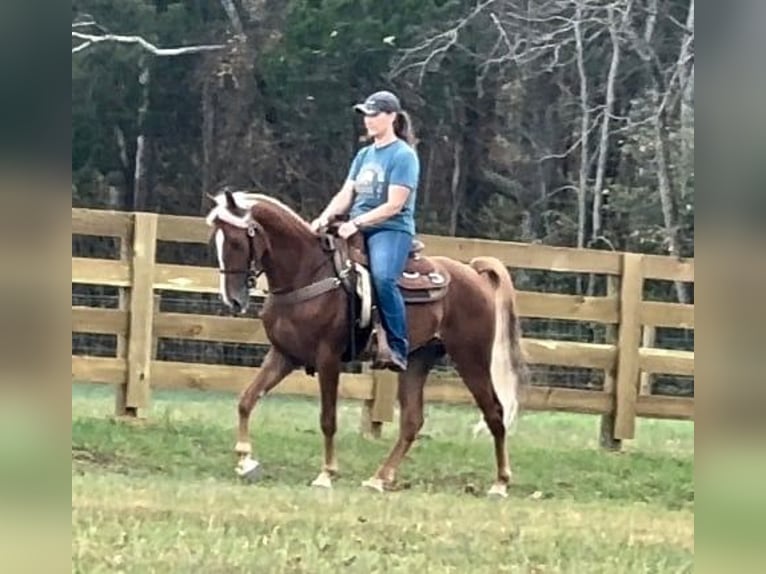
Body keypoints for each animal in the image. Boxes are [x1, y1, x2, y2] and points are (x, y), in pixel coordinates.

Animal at [204, 190, 532, 500]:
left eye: (236, 242)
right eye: (216, 241)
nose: (233, 299)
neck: (307, 273)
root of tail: (474, 274)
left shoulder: (328, 358)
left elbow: (328, 419)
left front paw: (326, 474)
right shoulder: (283, 355)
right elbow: (247, 399)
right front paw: (246, 460)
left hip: (471, 357)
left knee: (494, 412)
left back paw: (500, 483)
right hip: (417, 360)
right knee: (412, 421)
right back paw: (379, 478)